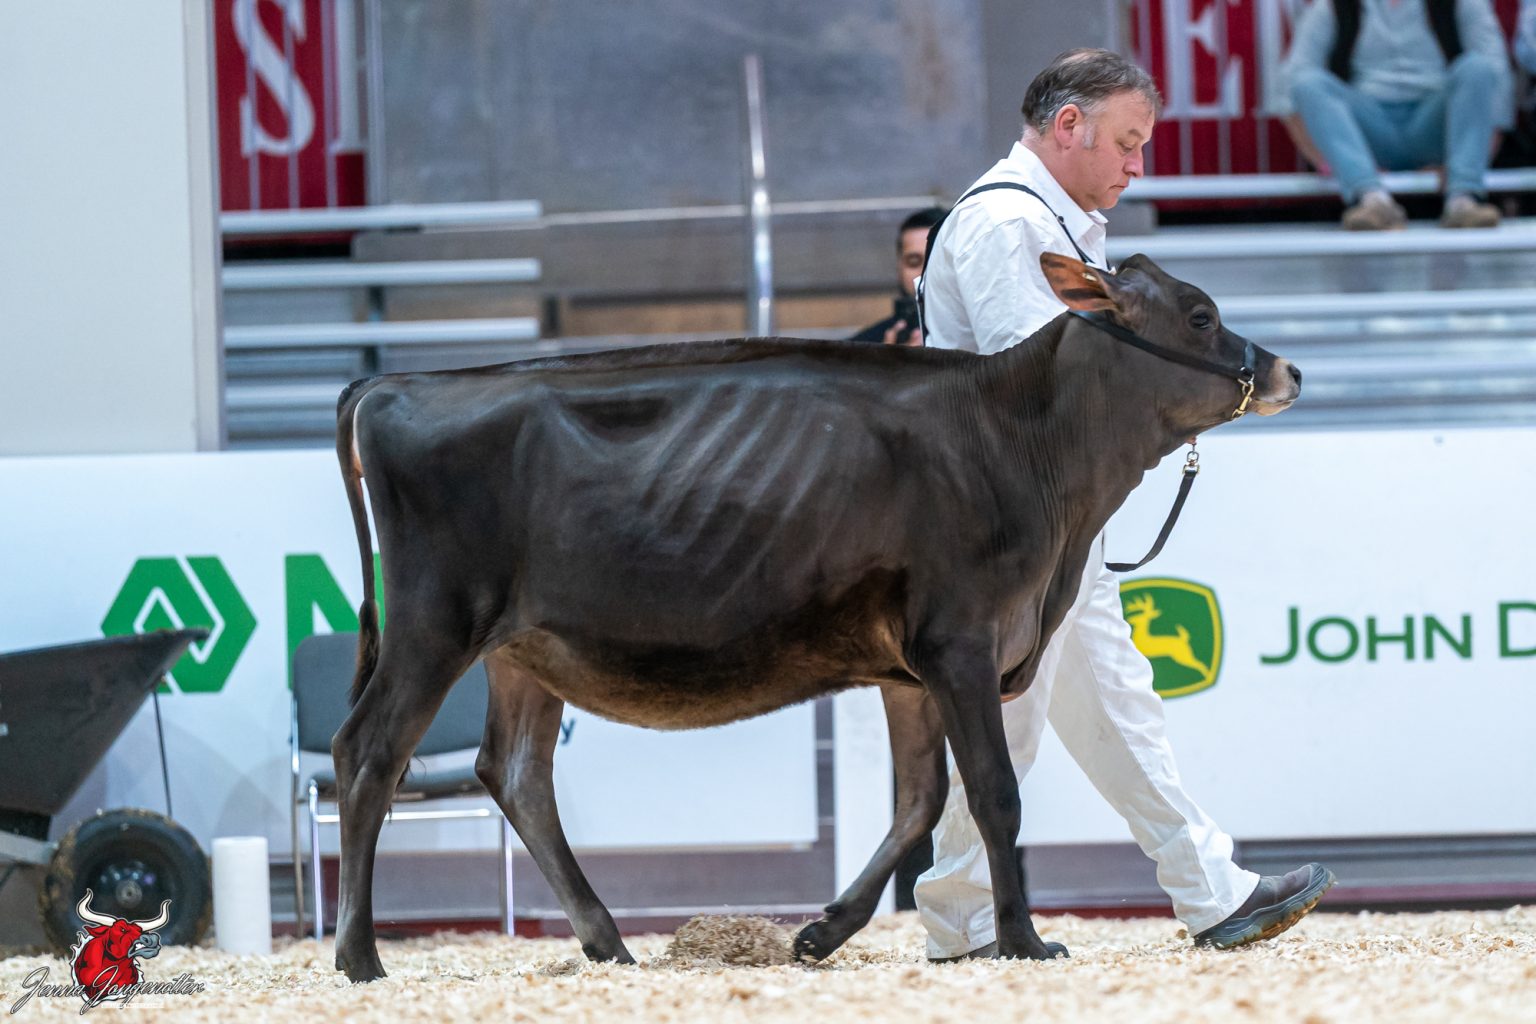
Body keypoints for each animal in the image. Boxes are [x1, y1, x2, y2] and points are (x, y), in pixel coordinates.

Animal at [328, 252, 1301, 982]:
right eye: (1201, 315)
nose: (1287, 369)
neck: (1024, 446)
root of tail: (397, 384)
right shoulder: (960, 639)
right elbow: (994, 794)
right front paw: (1024, 942)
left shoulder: (910, 667)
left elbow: (919, 803)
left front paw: (821, 933)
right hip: (433, 622)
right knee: (368, 753)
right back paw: (359, 956)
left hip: (523, 647)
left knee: (518, 773)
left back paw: (607, 942)